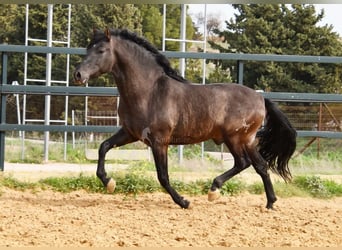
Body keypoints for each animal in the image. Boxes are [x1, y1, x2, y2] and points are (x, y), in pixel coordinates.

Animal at [75, 28, 296, 209]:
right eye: (88, 48)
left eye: (101, 50)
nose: (78, 75)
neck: (149, 92)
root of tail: (260, 98)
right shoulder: (130, 133)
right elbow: (103, 147)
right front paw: (109, 183)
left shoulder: (159, 141)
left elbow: (163, 176)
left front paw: (184, 202)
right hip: (246, 140)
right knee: (261, 166)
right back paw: (270, 203)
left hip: (234, 138)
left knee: (243, 163)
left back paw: (214, 191)